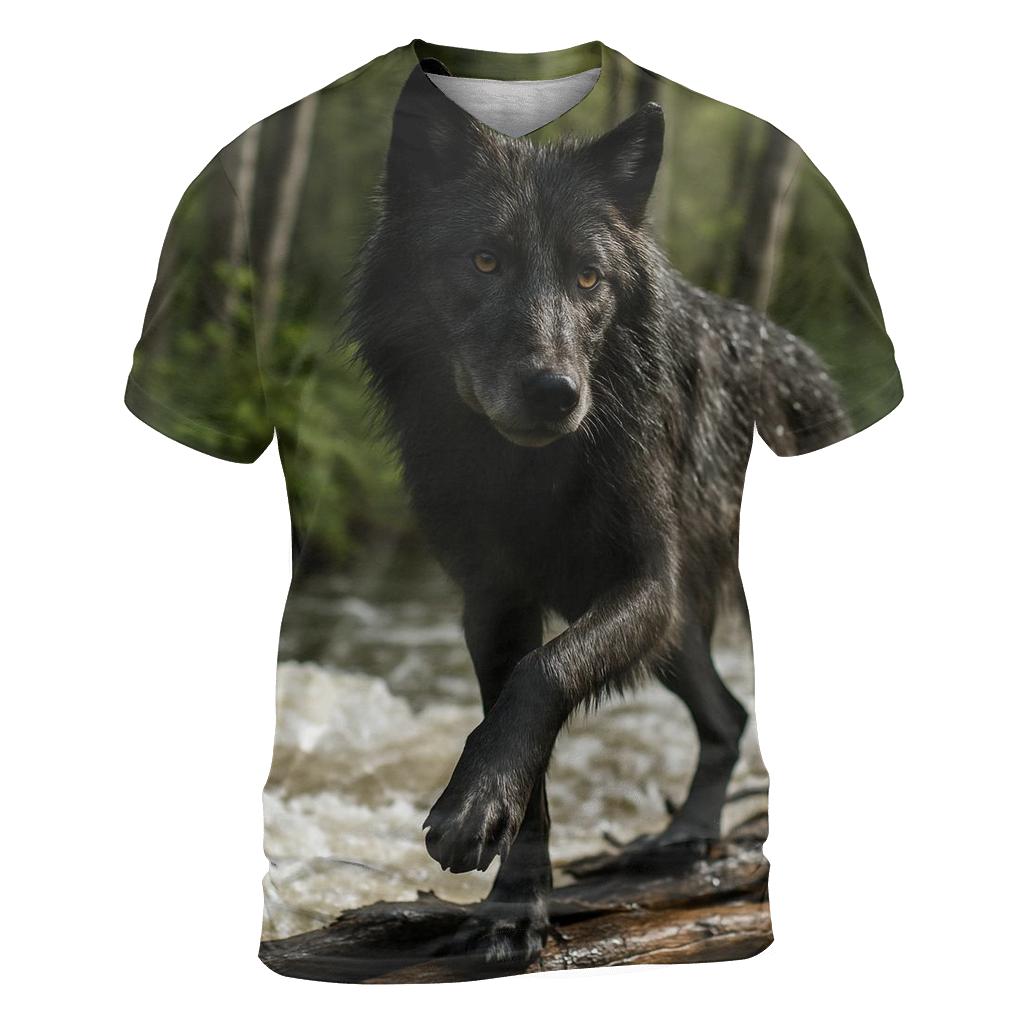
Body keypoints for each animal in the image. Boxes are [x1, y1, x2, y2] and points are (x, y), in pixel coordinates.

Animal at [349, 69, 848, 969]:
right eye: (484, 260)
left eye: (588, 280)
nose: (555, 393)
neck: (532, 473)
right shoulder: (494, 605)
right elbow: (526, 738)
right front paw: (513, 905)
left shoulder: (644, 583)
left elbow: (544, 675)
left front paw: (471, 812)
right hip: (676, 639)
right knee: (728, 716)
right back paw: (684, 837)